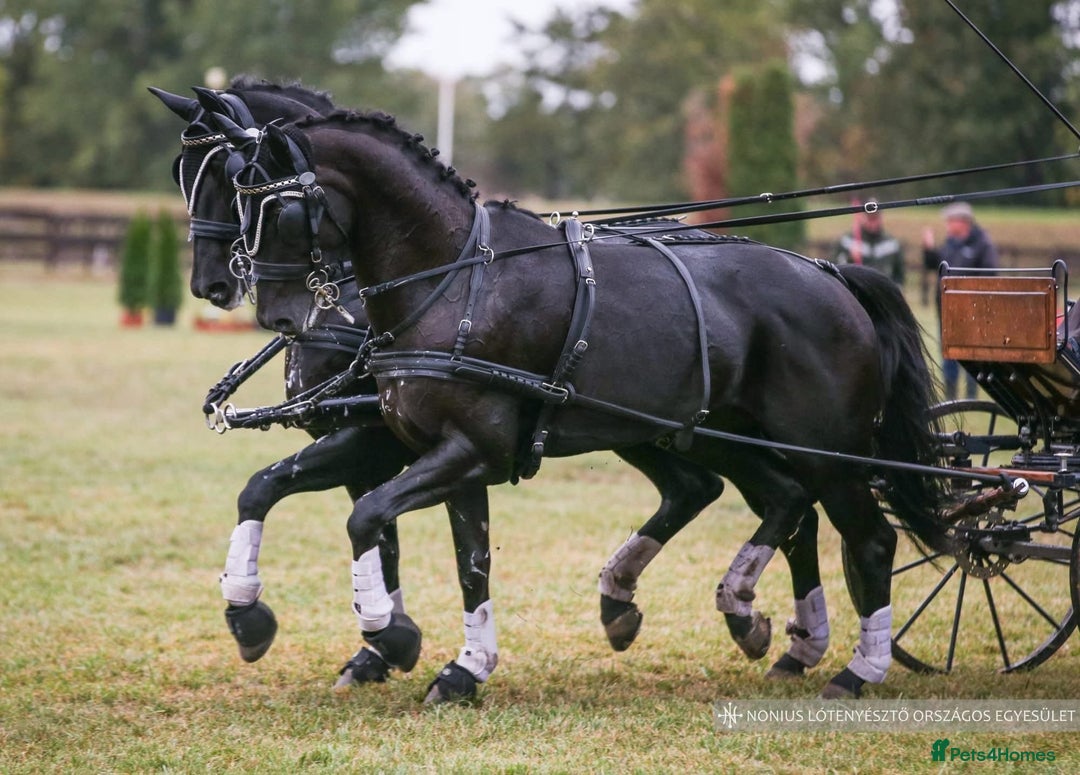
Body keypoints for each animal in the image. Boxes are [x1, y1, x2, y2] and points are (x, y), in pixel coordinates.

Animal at [221, 107, 949, 701]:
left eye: (275, 212)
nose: (277, 316)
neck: (455, 279)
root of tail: (830, 275)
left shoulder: (467, 450)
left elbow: (368, 517)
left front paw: (390, 635)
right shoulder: (439, 451)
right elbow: (459, 558)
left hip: (826, 449)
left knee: (868, 539)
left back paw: (855, 668)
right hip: (705, 432)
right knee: (773, 500)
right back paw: (718, 612)